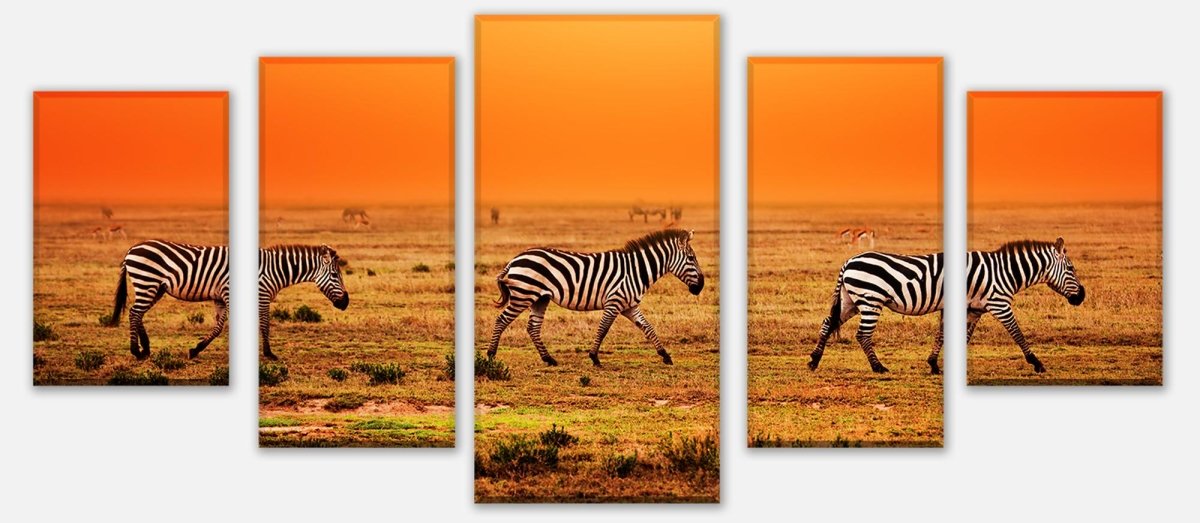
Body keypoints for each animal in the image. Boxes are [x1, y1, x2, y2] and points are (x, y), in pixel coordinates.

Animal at [487, 229, 705, 367]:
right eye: (691, 258)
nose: (701, 286)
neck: (636, 270)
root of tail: (515, 259)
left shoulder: (629, 306)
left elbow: (648, 328)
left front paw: (665, 356)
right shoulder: (614, 302)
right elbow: (603, 329)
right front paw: (594, 358)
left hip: (540, 298)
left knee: (532, 327)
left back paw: (549, 359)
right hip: (523, 295)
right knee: (501, 320)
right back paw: (490, 355)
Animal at [808, 250, 946, 374]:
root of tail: (849, 262)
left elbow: (941, 334)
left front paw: (933, 365)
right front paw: (934, 365)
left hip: (848, 301)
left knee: (828, 323)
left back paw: (814, 360)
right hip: (871, 300)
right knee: (863, 334)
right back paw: (878, 367)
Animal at [966, 238, 1084, 373]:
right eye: (1070, 268)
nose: (1083, 295)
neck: (1004, 273)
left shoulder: (974, 311)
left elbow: (966, 337)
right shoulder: (1000, 305)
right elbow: (1017, 333)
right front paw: (1036, 363)